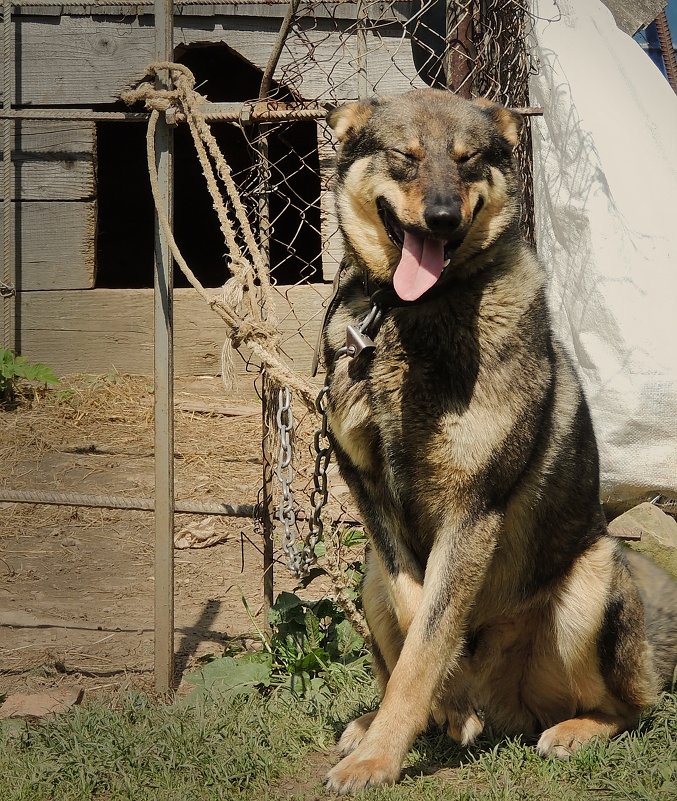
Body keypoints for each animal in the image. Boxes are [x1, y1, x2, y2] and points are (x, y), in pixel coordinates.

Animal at [318, 89, 676, 792]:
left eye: (468, 161)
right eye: (406, 156)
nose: (441, 217)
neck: (407, 317)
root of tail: (511, 709)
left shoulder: (473, 507)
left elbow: (428, 641)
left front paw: (380, 759)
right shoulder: (375, 502)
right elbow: (421, 622)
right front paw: (429, 714)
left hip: (592, 582)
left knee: (630, 708)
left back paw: (570, 729)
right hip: (368, 579)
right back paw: (390, 719)